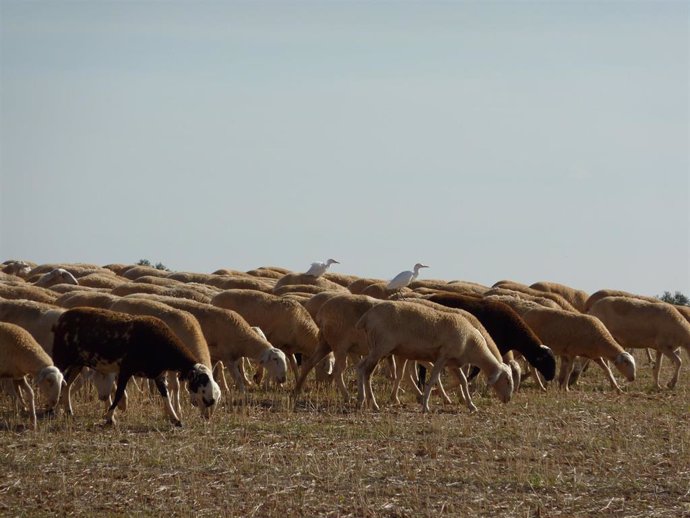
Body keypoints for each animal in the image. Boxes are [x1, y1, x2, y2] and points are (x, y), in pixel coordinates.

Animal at [52, 308, 219, 426]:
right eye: (202, 387)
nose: (207, 418)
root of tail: (62, 318)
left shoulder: (158, 374)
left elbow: (165, 395)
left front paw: (175, 419)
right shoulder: (125, 369)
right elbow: (119, 393)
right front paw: (110, 418)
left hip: (77, 363)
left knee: (66, 385)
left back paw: (68, 412)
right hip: (62, 358)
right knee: (58, 380)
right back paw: (53, 411)